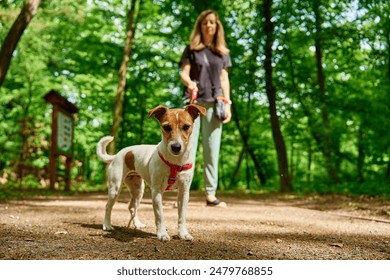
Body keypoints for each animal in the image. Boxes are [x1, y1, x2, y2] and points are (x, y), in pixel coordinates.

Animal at [95, 104, 206, 241]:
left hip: (138, 190)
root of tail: (117, 155)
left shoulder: (184, 192)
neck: (175, 162)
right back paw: (107, 225)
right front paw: (162, 233)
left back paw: (137, 224)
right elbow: (160, 215)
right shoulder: (156, 191)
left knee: (132, 207)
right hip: (115, 188)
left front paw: (183, 233)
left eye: (186, 126)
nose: (176, 147)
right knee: (108, 206)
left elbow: (182, 216)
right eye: (166, 127)